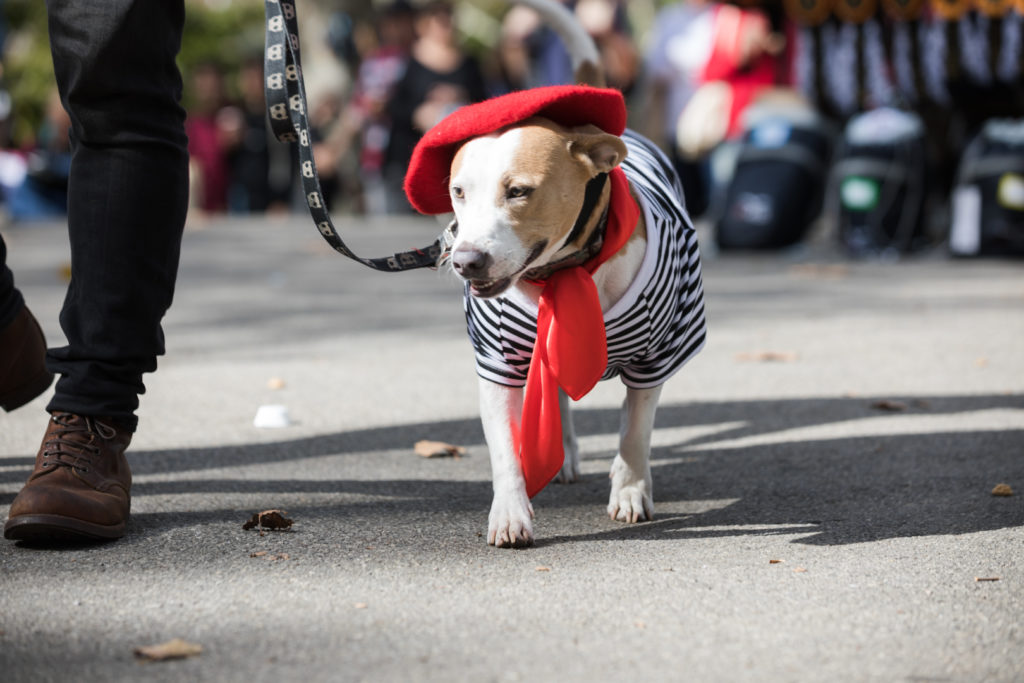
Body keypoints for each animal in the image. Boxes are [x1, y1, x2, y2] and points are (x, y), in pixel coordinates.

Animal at [403, 0, 708, 548]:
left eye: (519, 191)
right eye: (458, 191)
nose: (465, 261)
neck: (567, 270)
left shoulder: (658, 354)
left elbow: (635, 432)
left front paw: (630, 490)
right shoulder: (497, 363)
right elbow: (507, 449)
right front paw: (510, 513)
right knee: (557, 398)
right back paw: (563, 454)